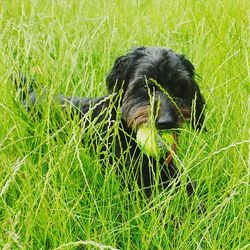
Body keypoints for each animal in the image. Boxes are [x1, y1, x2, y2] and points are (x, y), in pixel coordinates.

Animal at [14, 47, 205, 197]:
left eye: (179, 88)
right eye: (145, 86)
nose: (166, 122)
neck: (126, 128)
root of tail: (30, 93)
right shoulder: (130, 175)